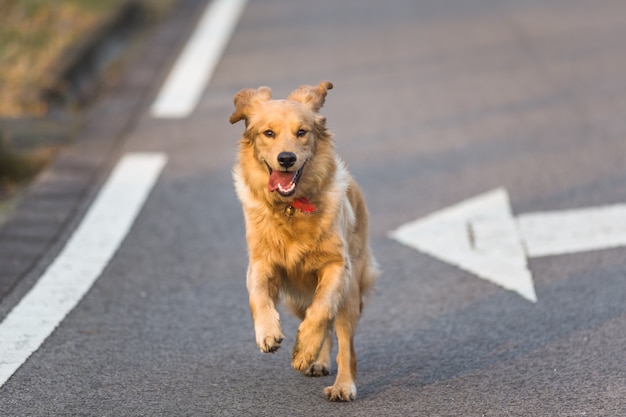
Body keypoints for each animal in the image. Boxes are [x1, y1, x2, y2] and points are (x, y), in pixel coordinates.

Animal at [228, 80, 376, 400]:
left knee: (343, 341)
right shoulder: (260, 262)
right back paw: (318, 362)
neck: (290, 208)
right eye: (268, 133)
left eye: (301, 132)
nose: (286, 158)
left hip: (350, 292)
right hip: (295, 300)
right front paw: (268, 333)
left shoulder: (337, 267)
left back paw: (341, 384)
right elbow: (258, 296)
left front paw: (304, 349)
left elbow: (321, 312)